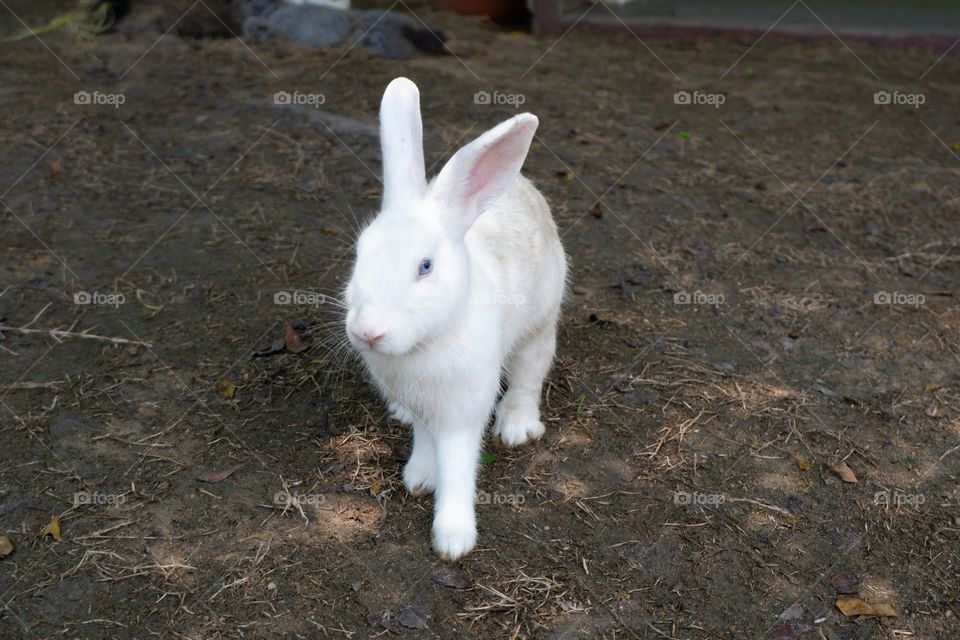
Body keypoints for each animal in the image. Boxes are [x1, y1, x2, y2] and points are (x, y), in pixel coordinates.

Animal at [344, 78, 567, 559]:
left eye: (425, 267)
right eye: (359, 255)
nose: (368, 332)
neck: (425, 343)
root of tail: (522, 185)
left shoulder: (463, 410)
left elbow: (459, 464)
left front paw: (453, 538)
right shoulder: (422, 405)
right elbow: (426, 442)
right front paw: (419, 476)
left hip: (539, 325)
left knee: (529, 375)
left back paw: (516, 426)